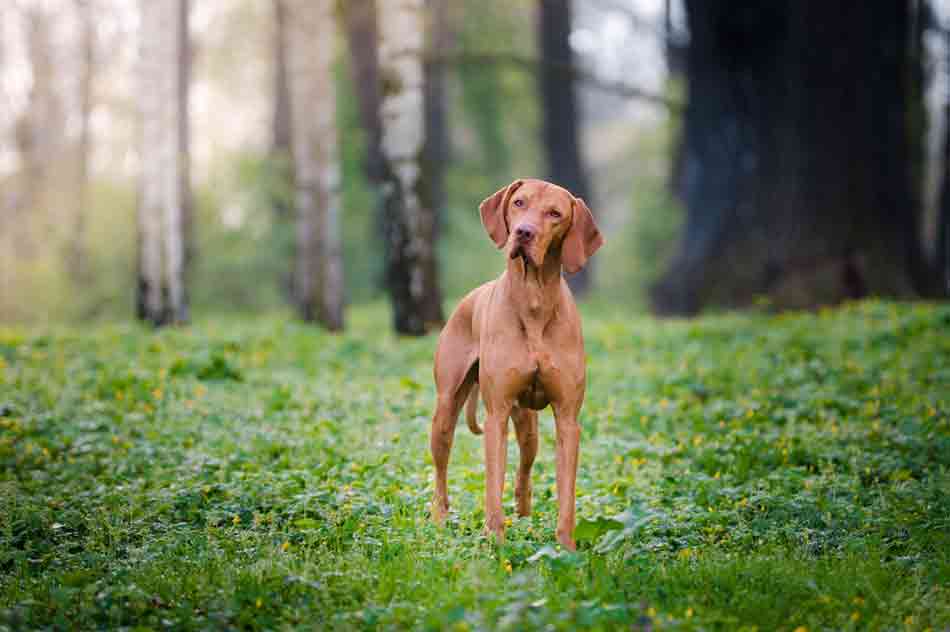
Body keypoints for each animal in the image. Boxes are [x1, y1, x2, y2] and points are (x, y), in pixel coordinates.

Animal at [430, 178, 604, 548]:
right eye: (519, 203)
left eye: (555, 213)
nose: (524, 232)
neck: (534, 297)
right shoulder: (496, 415)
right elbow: (492, 488)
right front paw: (495, 541)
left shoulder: (568, 420)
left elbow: (566, 496)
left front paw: (565, 548)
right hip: (445, 411)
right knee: (440, 472)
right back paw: (438, 522)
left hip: (528, 427)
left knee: (524, 473)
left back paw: (524, 520)